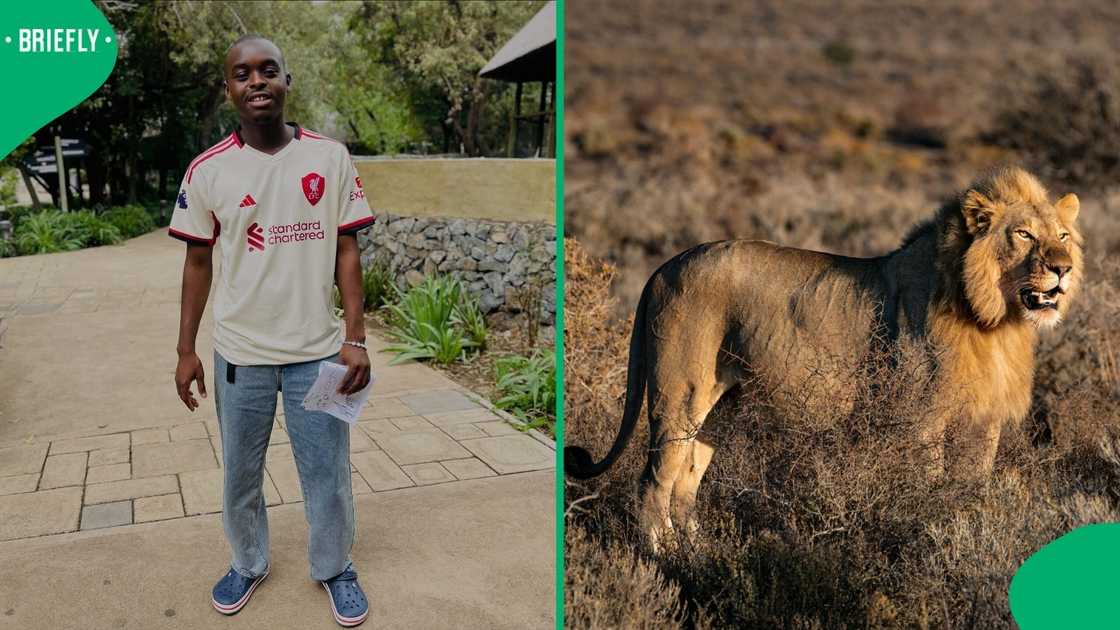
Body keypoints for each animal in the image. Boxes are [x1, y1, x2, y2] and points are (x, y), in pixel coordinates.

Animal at [565, 167, 1083, 551]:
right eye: (1023, 235)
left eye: (1062, 235)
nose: (1063, 269)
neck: (995, 320)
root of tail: (663, 267)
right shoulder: (923, 419)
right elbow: (930, 488)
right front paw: (931, 535)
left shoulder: (983, 421)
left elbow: (971, 488)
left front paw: (967, 529)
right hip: (680, 395)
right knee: (653, 481)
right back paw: (662, 559)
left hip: (723, 406)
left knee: (686, 482)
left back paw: (697, 554)